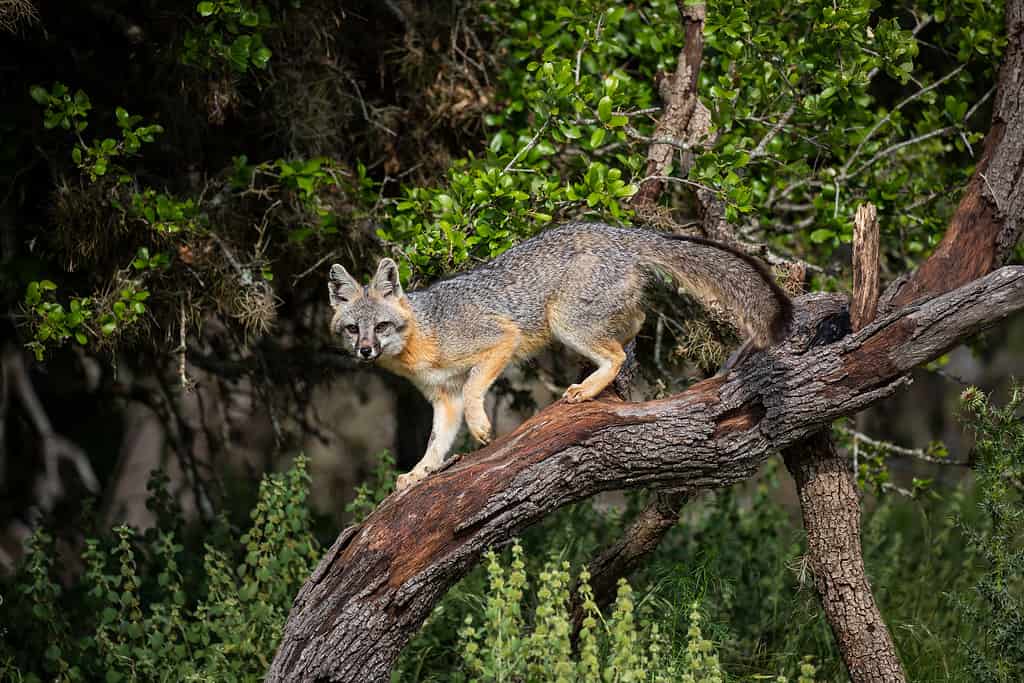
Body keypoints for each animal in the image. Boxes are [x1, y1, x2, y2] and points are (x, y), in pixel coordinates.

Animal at [327, 222, 790, 489]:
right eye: (353, 329)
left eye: (381, 327)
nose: (365, 350)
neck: (425, 336)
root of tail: (624, 232)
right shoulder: (444, 399)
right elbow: (436, 443)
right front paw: (421, 473)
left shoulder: (500, 339)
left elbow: (476, 386)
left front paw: (481, 427)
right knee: (637, 320)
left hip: (564, 322)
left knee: (617, 352)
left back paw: (588, 389)